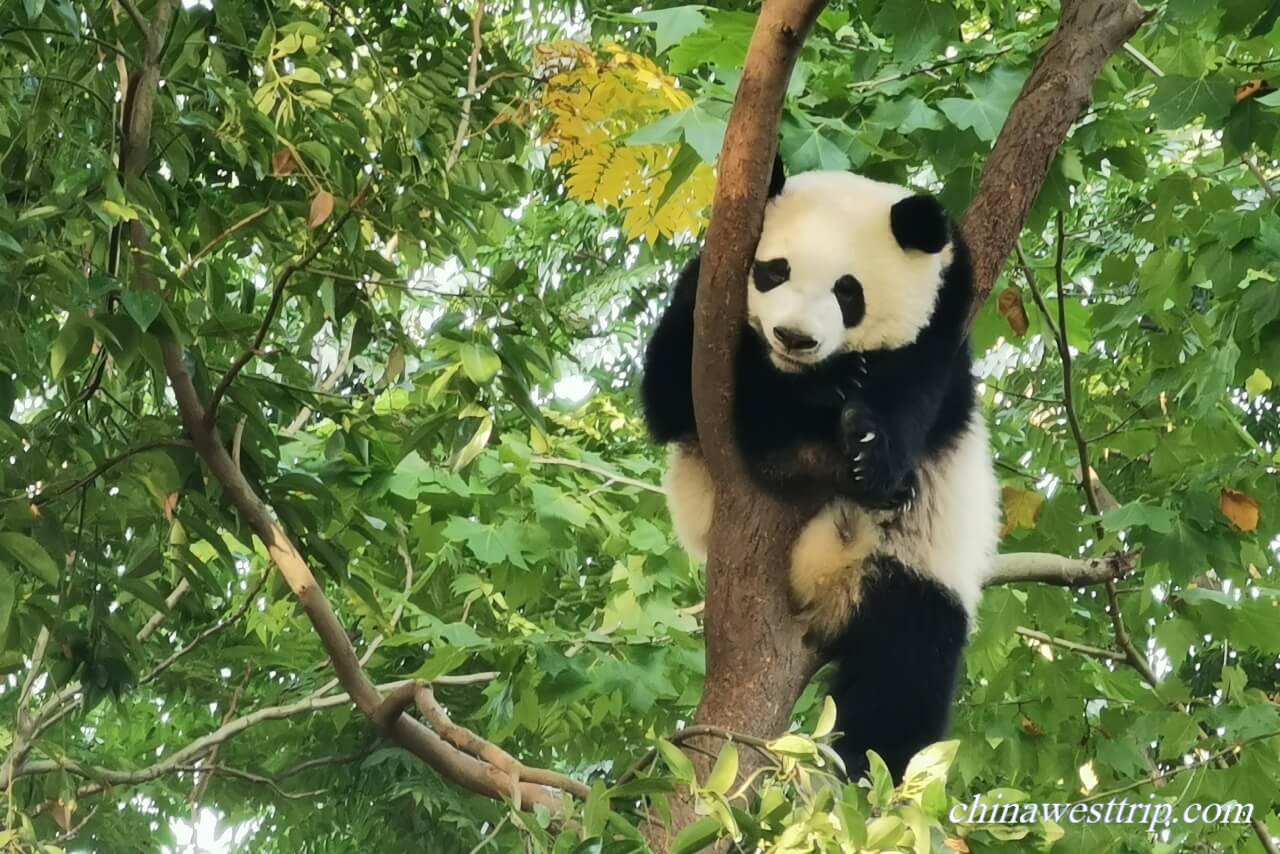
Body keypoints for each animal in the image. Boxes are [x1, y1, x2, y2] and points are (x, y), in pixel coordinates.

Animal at [640, 156, 998, 783]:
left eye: (847, 292)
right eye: (773, 271)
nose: (794, 337)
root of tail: (824, 589)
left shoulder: (944, 325)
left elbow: (914, 398)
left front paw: (865, 441)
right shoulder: (703, 309)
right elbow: (670, 393)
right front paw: (813, 396)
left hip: (910, 567)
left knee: (905, 665)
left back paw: (866, 766)